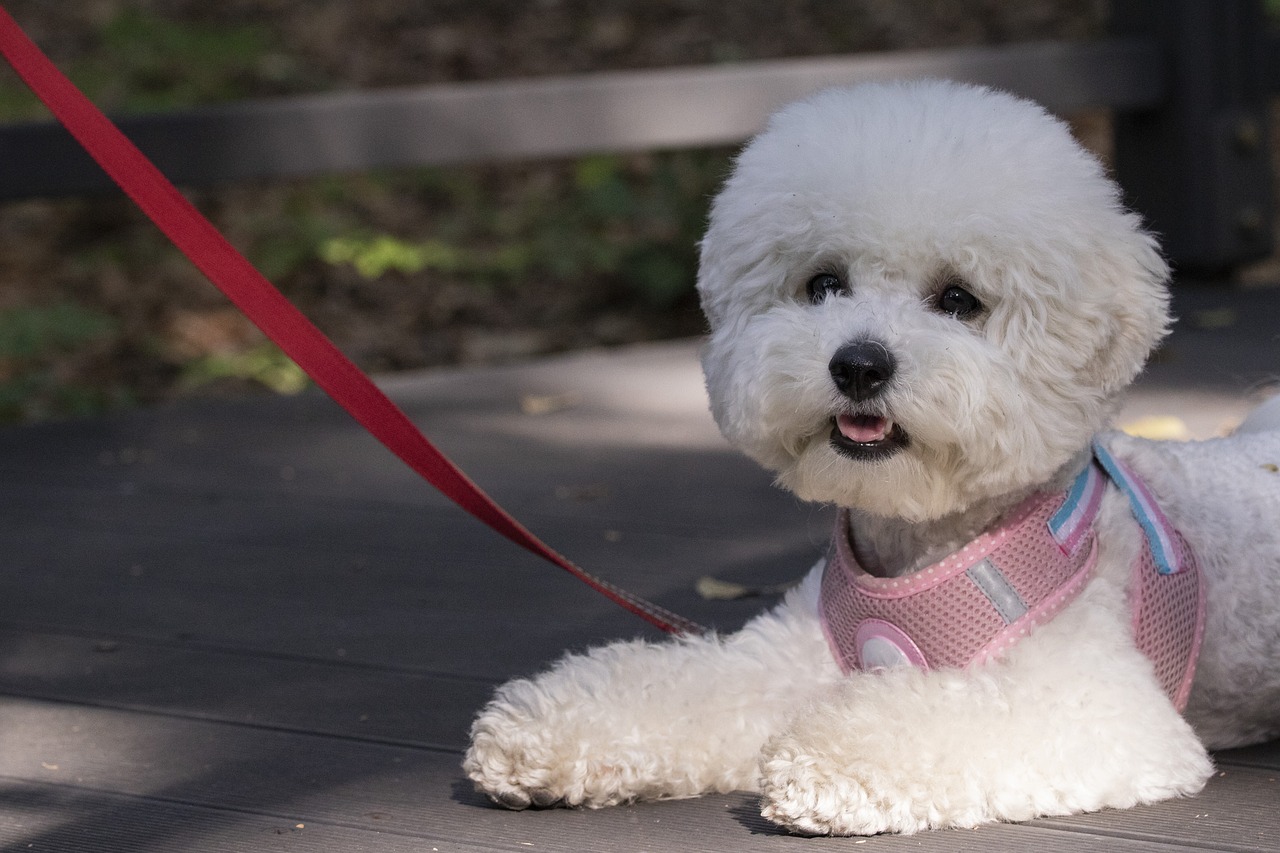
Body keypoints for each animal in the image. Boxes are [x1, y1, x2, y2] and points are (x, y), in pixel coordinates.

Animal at [465, 78, 1280, 829]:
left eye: (959, 299)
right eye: (824, 283)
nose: (858, 365)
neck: (920, 545)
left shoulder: (1099, 703)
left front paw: (827, 760)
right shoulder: (787, 658)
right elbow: (689, 686)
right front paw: (544, 734)